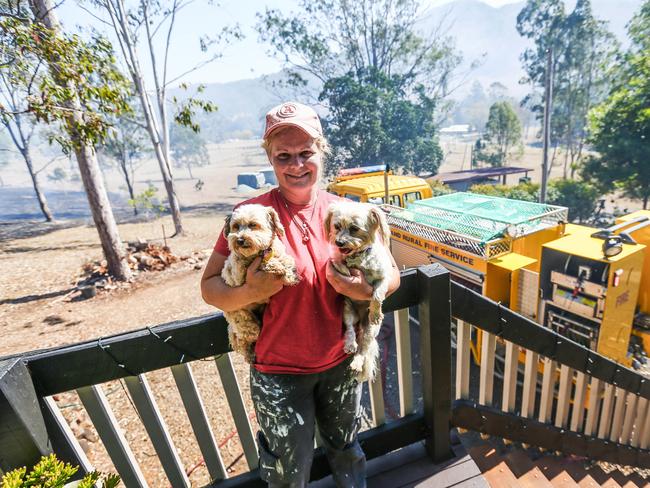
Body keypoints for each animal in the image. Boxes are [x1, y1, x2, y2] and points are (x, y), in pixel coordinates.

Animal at [219, 205, 298, 362]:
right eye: (236, 226)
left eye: (253, 225)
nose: (240, 240)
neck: (259, 252)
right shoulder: (240, 276)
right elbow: (262, 263)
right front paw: (276, 266)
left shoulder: (278, 251)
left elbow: (286, 259)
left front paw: (289, 272)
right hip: (243, 321)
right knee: (245, 339)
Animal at [322, 202, 390, 382]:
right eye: (337, 226)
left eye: (354, 228)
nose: (338, 242)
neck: (358, 258)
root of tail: (360, 318)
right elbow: (339, 264)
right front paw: (342, 264)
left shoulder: (383, 278)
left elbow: (377, 295)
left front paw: (375, 312)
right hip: (348, 312)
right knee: (350, 332)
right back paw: (350, 345)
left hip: (370, 331)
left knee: (363, 350)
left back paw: (357, 362)